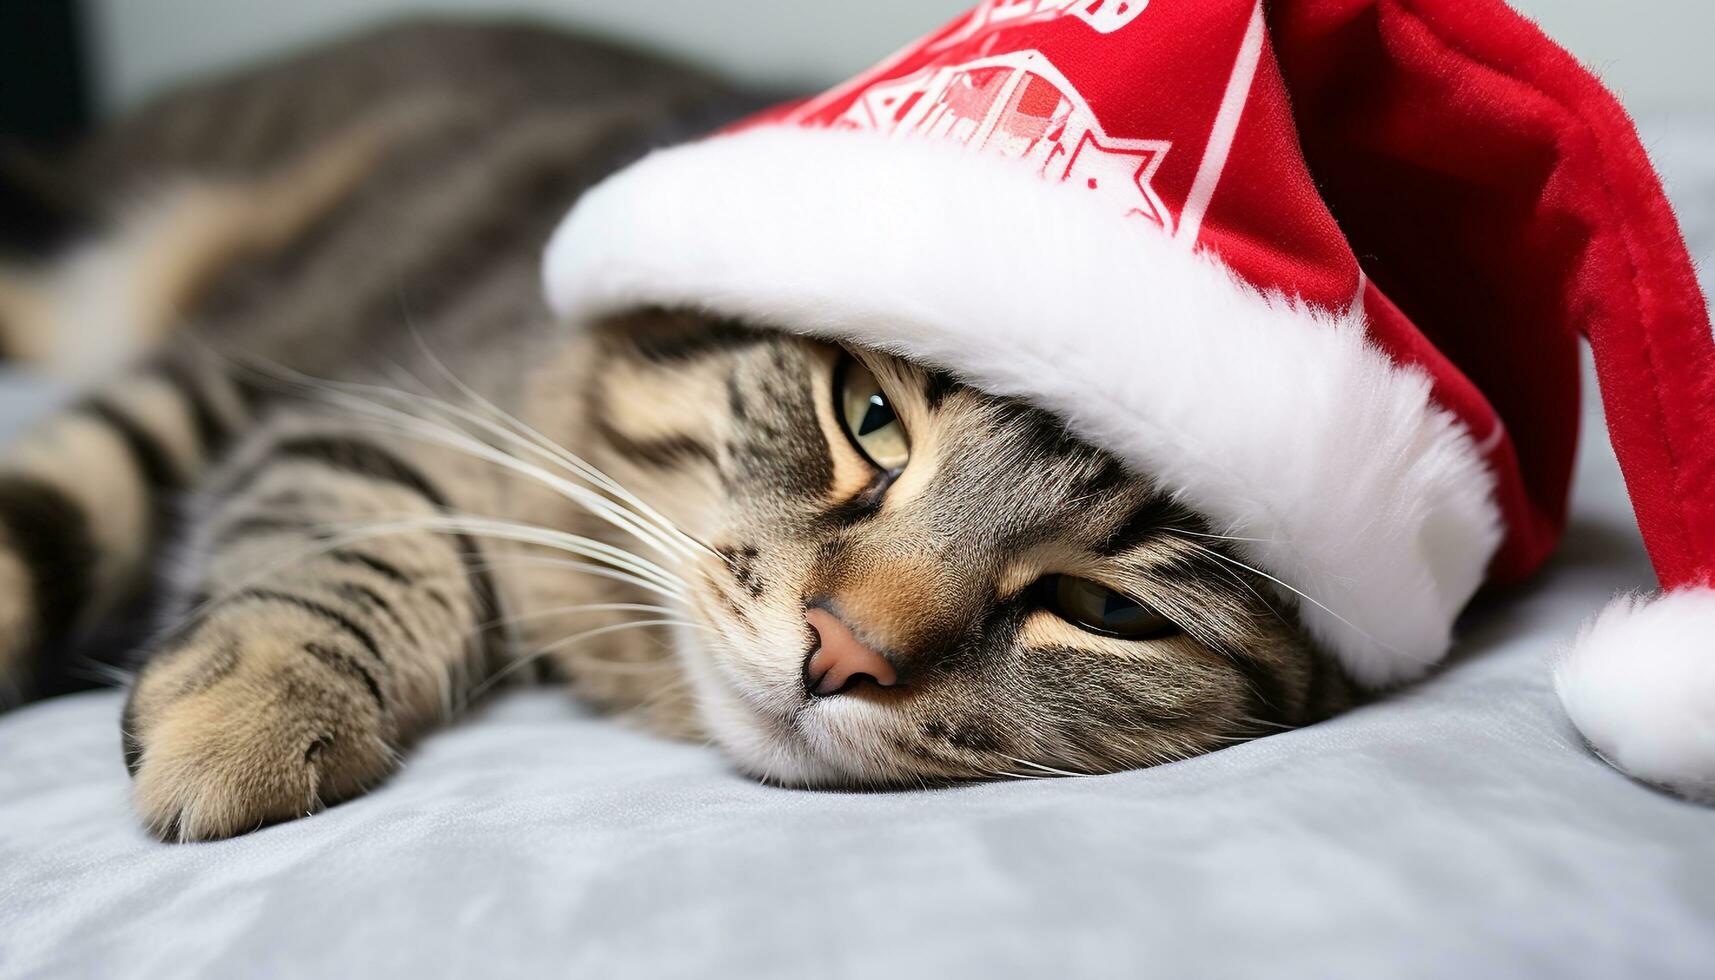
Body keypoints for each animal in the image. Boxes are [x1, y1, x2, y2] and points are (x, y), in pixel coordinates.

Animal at [0, 21, 1337, 844]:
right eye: (867, 417)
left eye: (1106, 609)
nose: (839, 652)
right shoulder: (324, 392)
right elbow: (331, 534)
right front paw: (251, 706)